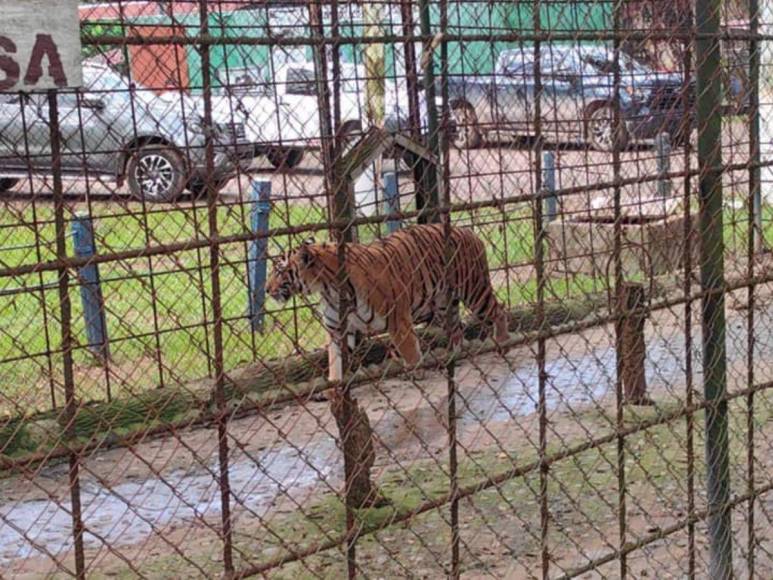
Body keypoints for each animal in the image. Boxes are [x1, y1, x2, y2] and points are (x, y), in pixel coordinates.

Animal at [266, 224, 506, 382]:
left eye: (279, 271)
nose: (267, 289)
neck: (328, 289)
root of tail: (469, 231)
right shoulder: (336, 328)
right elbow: (335, 361)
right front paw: (335, 388)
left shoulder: (398, 319)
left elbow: (409, 350)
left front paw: (415, 371)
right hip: (444, 304)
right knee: (457, 329)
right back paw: (454, 356)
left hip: (474, 291)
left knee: (499, 310)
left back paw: (501, 344)